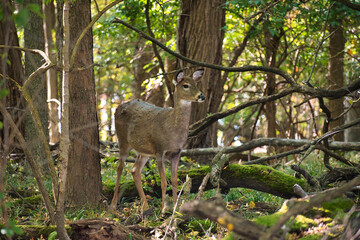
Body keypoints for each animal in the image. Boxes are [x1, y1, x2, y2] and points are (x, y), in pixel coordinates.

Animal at [109, 68, 205, 212]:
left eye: (196, 84)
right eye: (186, 85)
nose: (202, 96)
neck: (173, 131)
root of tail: (117, 107)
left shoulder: (177, 153)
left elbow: (174, 181)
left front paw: (175, 208)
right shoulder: (160, 150)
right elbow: (164, 182)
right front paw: (164, 208)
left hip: (144, 151)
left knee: (134, 170)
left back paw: (145, 205)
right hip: (122, 140)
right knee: (120, 168)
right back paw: (113, 204)